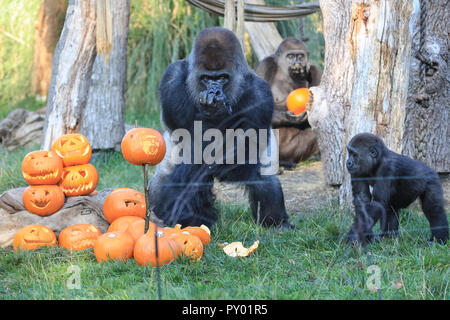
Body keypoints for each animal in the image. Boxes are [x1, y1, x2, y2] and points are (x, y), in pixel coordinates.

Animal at [149, 26, 294, 229]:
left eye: (223, 78)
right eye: (206, 78)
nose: (214, 91)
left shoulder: (261, 92)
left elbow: (245, 146)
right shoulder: (172, 76)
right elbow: (190, 140)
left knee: (262, 176)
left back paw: (277, 223)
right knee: (169, 175)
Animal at [255, 37, 322, 169]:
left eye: (300, 56)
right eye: (290, 56)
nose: (296, 63)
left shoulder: (316, 71)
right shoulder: (265, 65)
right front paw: (289, 117)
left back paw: (287, 162)